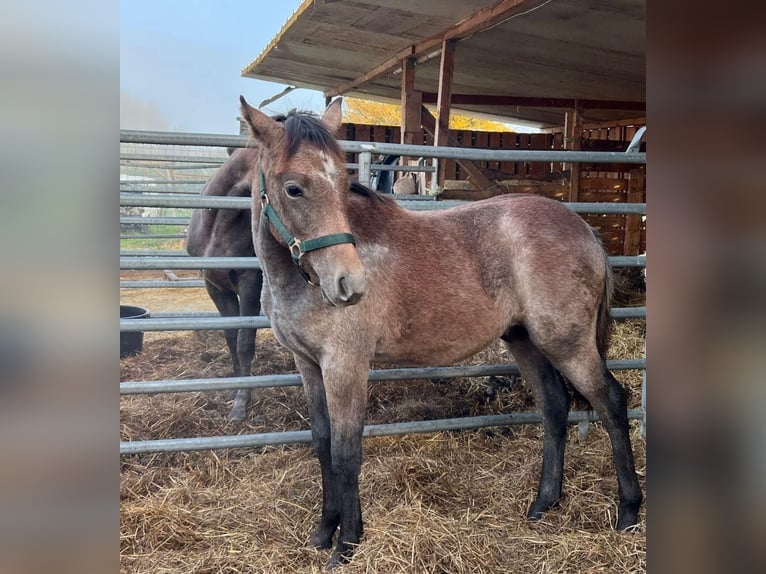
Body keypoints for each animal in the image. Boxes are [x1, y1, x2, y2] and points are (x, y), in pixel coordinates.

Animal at [238, 97, 640, 568]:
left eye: (342, 182)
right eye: (293, 188)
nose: (349, 285)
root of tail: (585, 230)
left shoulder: (345, 366)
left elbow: (345, 452)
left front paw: (347, 544)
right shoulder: (307, 365)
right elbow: (322, 444)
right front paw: (323, 532)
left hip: (568, 344)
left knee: (612, 403)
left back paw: (628, 512)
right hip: (525, 341)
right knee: (555, 407)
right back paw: (543, 504)